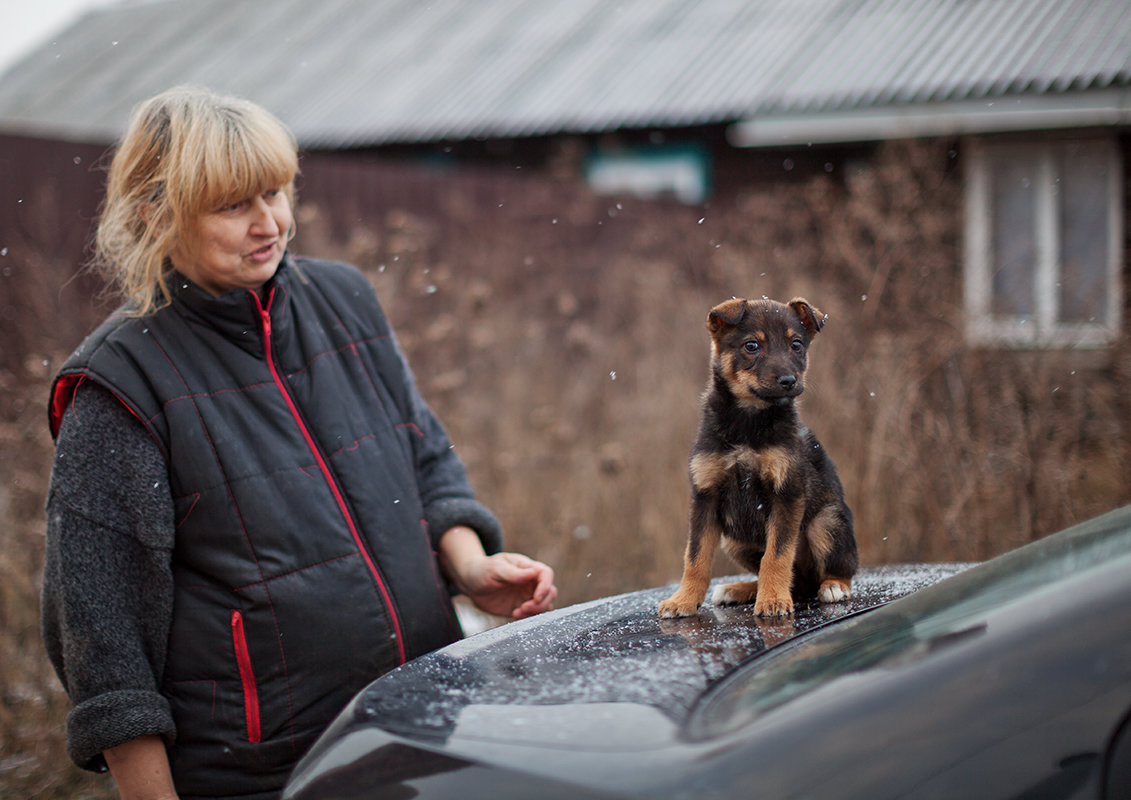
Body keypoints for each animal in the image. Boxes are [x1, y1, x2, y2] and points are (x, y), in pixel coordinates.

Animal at [660, 298, 850, 620]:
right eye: (751, 346)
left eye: (797, 345)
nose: (789, 381)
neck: (747, 421)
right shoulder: (705, 496)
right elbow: (695, 556)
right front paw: (683, 600)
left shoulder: (786, 494)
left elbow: (777, 554)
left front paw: (773, 600)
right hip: (735, 540)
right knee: (796, 583)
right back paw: (741, 589)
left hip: (825, 522)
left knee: (838, 570)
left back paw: (834, 586)